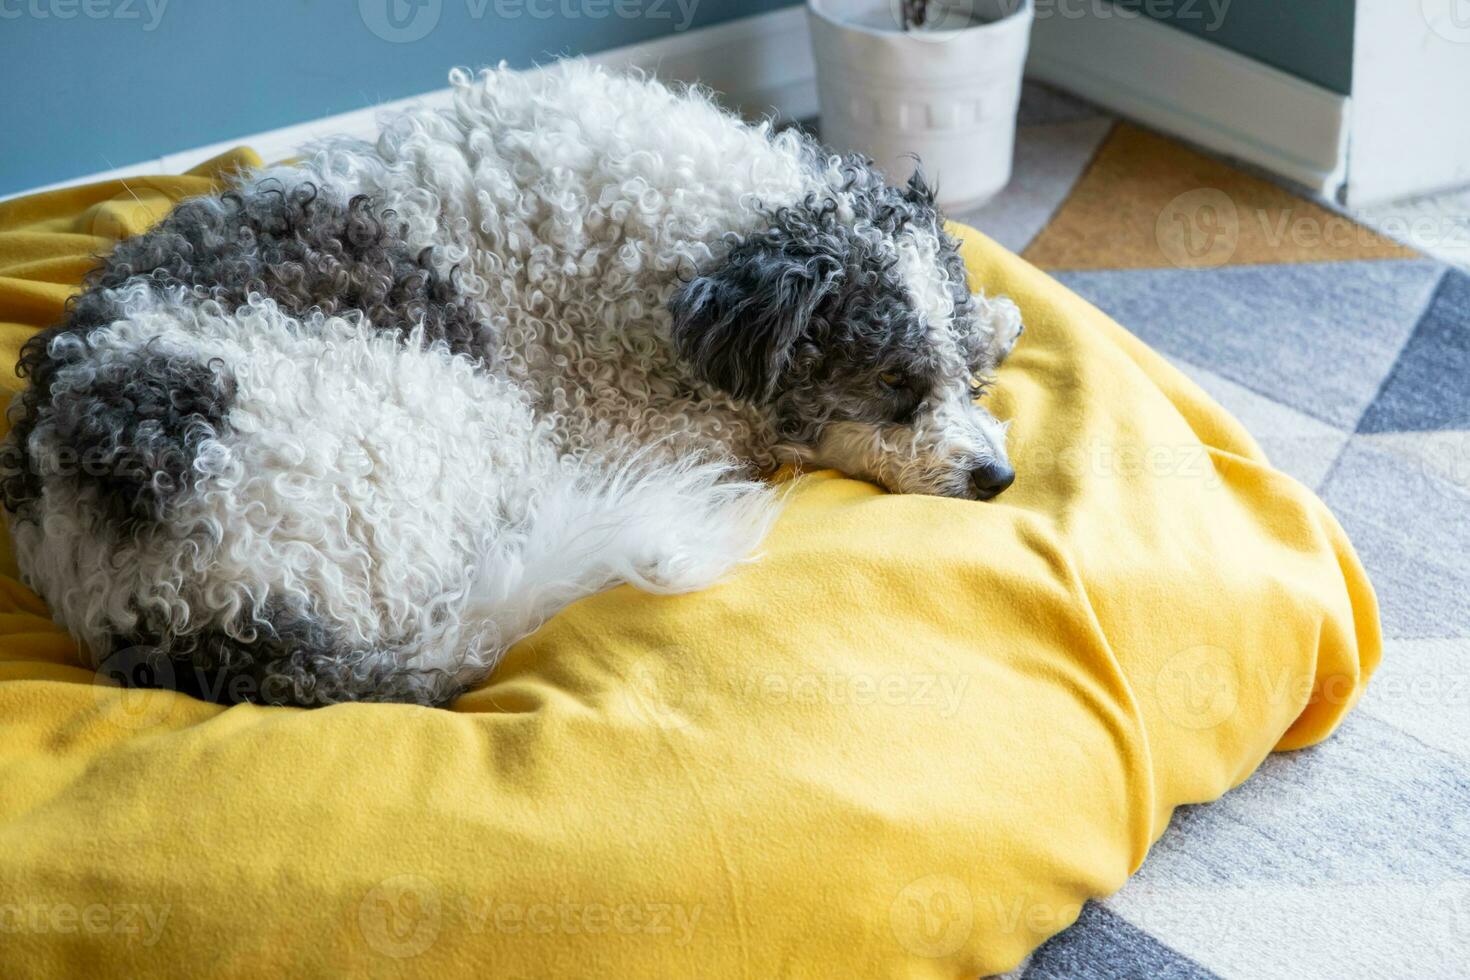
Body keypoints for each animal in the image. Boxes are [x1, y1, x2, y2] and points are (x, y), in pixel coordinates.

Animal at [2, 61, 1023, 705]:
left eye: (963, 379)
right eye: (891, 382)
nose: (999, 479)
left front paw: (996, 319)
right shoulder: (631, 424)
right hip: (459, 438)